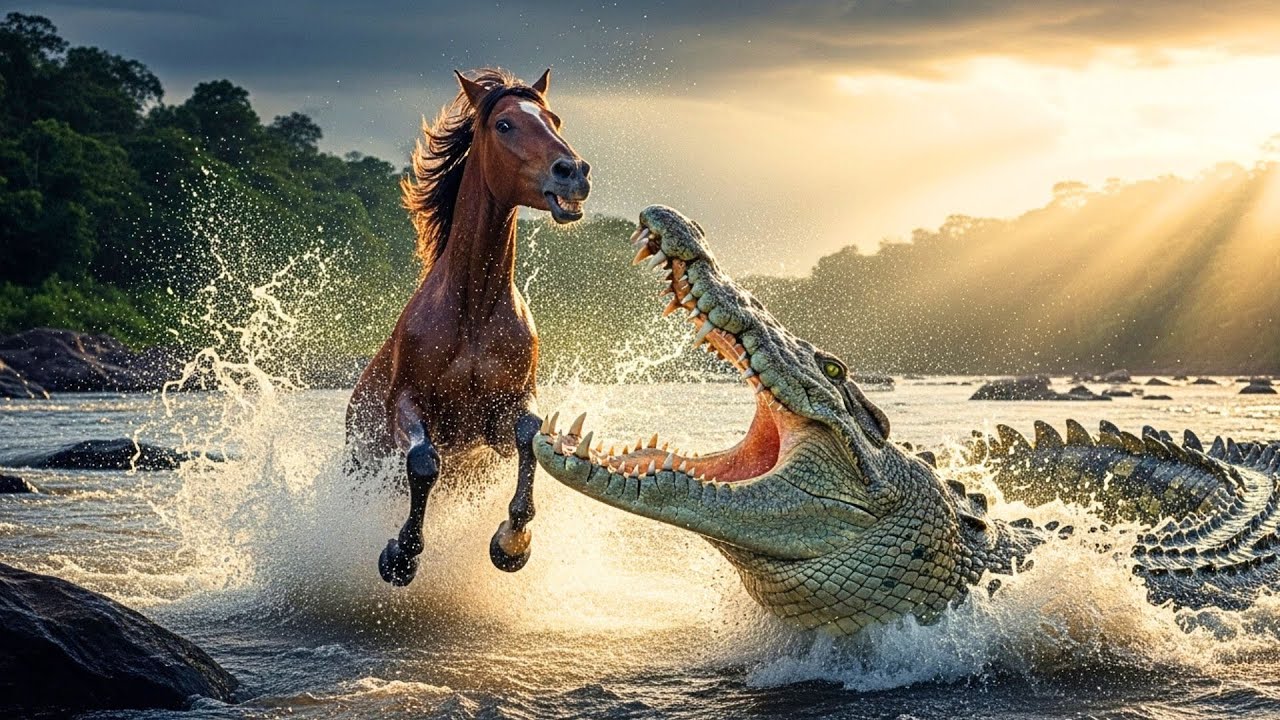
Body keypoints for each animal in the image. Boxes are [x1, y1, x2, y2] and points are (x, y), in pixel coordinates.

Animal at [345, 68, 591, 585]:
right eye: (504, 124)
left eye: (555, 119)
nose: (574, 172)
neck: (473, 313)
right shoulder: (408, 403)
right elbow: (423, 462)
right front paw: (400, 556)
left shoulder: (502, 413)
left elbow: (530, 435)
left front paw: (512, 542)